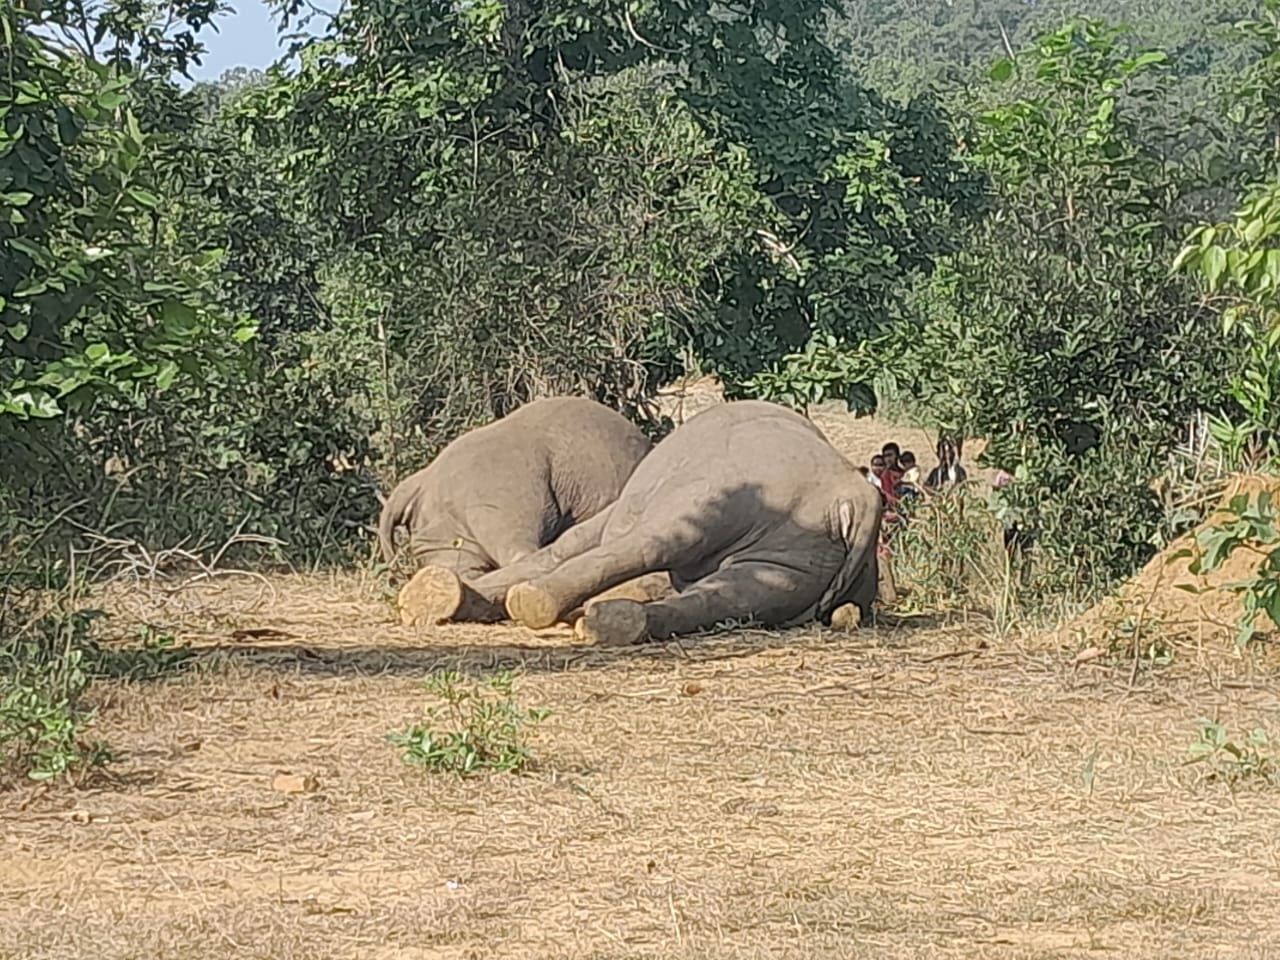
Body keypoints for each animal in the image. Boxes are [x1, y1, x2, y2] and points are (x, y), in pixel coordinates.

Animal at [404, 399, 885, 647]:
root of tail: (856, 497)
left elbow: (570, 545)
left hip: (736, 489)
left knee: (662, 539)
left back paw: (540, 605)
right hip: (798, 552)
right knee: (736, 596)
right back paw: (611, 622)